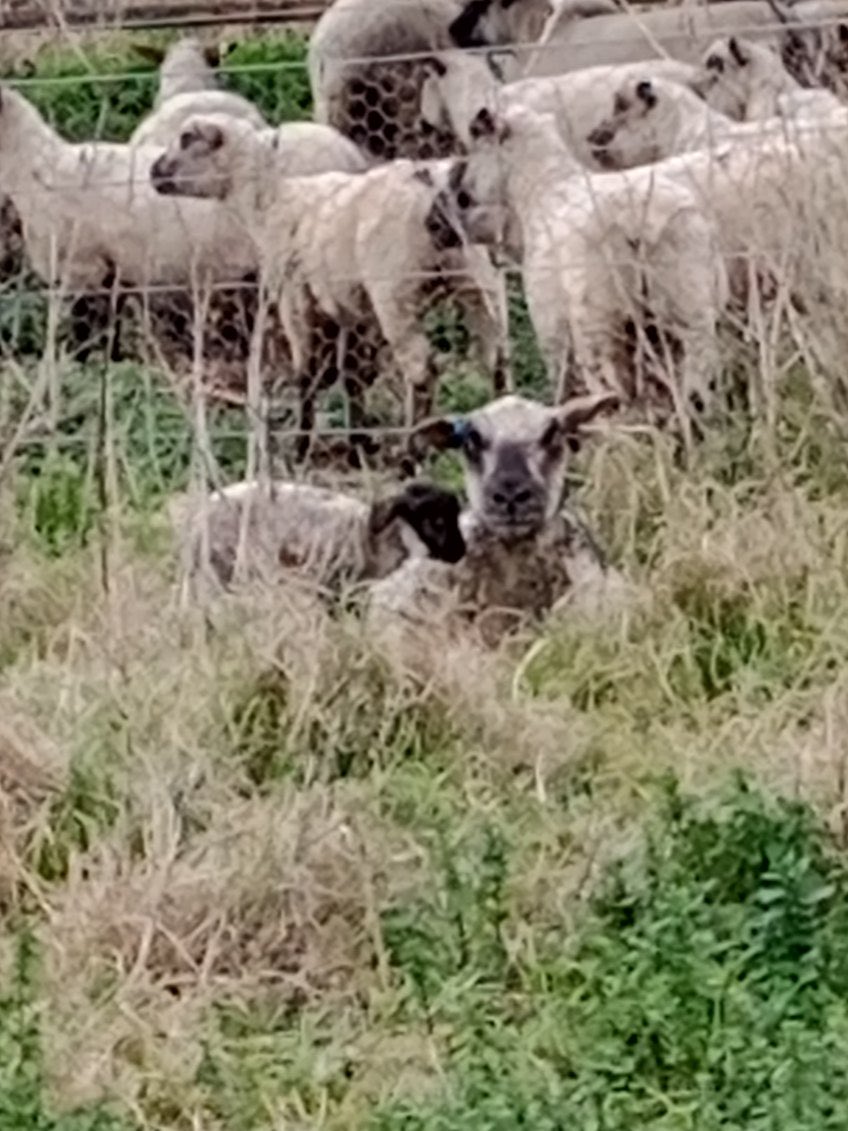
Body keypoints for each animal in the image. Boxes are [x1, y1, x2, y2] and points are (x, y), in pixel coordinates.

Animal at [150, 112, 511, 458]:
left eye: (186, 138)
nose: (154, 172)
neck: (270, 204)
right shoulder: (350, 305)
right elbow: (352, 373)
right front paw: (359, 443)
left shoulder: (294, 297)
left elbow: (308, 374)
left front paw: (301, 447)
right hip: (480, 280)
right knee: (497, 355)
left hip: (395, 291)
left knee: (421, 369)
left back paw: (410, 455)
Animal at [426, 103, 728, 441]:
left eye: (470, 151)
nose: (432, 223)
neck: (540, 191)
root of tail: (639, 221)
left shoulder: (552, 334)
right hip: (691, 315)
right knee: (697, 388)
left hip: (601, 334)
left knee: (617, 407)